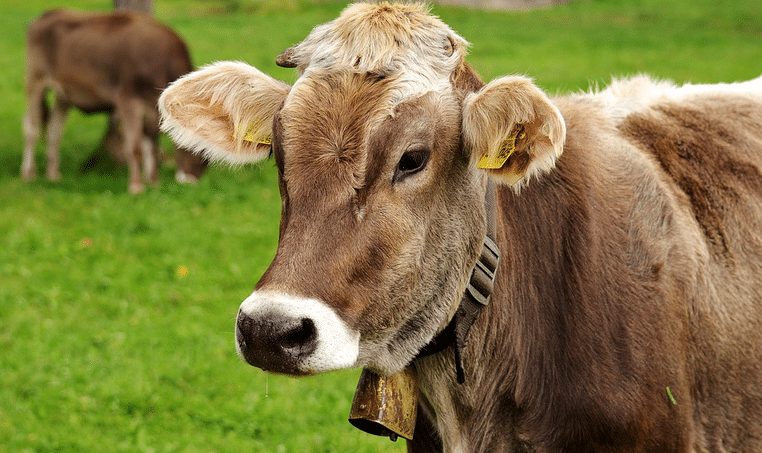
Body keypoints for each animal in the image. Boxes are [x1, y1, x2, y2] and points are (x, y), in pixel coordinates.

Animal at [22, 8, 206, 192]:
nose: (193, 180)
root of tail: (50, 13)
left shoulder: (151, 109)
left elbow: (151, 145)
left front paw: (153, 183)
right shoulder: (127, 100)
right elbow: (135, 146)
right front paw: (136, 186)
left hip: (64, 94)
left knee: (54, 131)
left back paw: (53, 174)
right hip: (36, 81)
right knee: (31, 127)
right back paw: (28, 173)